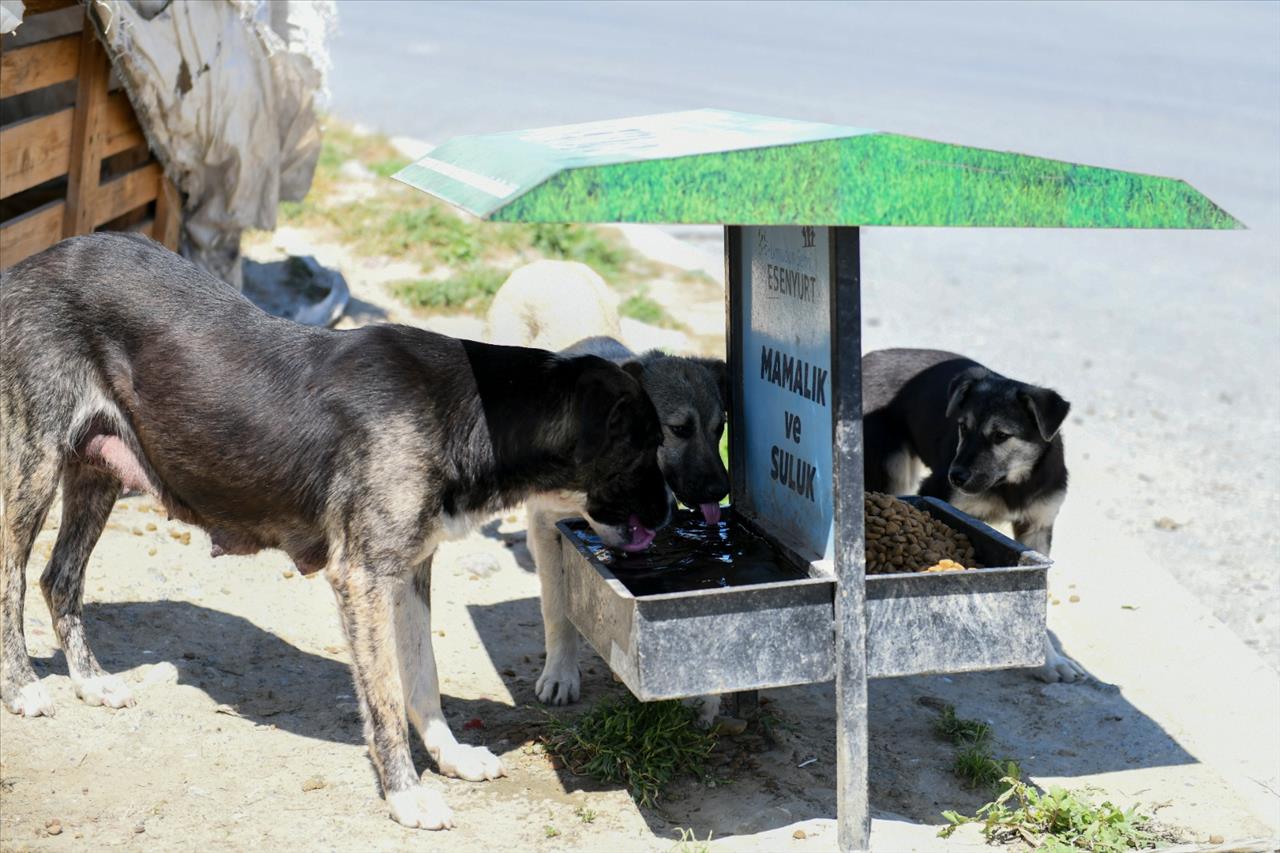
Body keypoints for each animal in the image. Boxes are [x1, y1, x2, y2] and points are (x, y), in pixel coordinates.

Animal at [0, 230, 675, 824]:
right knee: (14, 578)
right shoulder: (363, 577)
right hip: (36, 462)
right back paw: (24, 687)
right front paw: (407, 796)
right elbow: (384, 696)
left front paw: (450, 757)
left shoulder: (410, 569)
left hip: (98, 469)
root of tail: (29, 265)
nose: (672, 516)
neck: (469, 410)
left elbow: (423, 678)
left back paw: (91, 683)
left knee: (60, 579)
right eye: (646, 448)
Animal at [860, 348, 1080, 681]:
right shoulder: (938, 496)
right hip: (889, 471)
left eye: (1001, 436)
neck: (1012, 482)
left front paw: (1049, 660)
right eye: (962, 427)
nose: (956, 477)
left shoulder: (1037, 528)